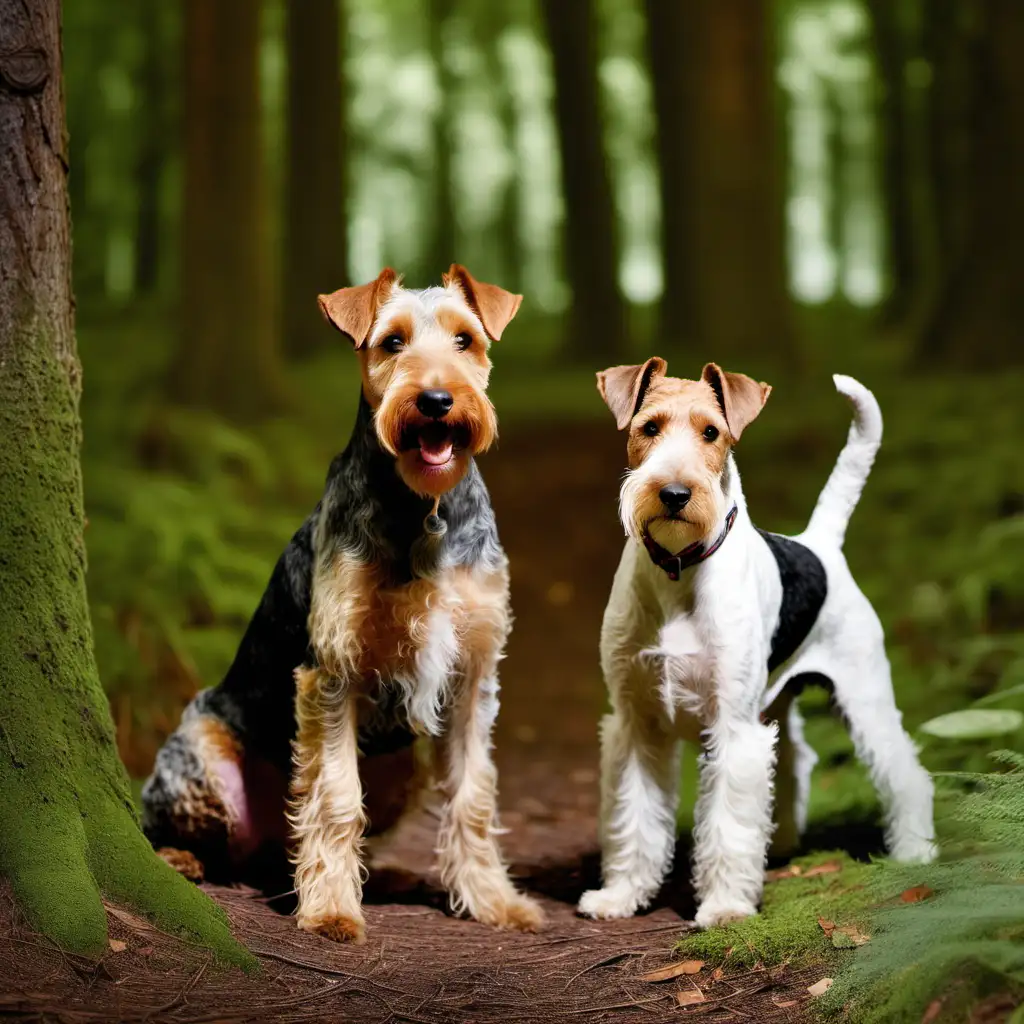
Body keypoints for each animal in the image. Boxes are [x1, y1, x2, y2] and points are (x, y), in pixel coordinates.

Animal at [577, 358, 937, 929]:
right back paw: (783, 843)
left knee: (905, 772)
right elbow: (633, 816)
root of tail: (819, 544)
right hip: (777, 702)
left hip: (864, 695)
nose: (674, 494)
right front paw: (621, 895)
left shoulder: (732, 725)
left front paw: (725, 906)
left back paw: (914, 851)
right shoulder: (635, 722)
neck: (680, 569)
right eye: (649, 427)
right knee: (796, 760)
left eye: (711, 433)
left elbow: (728, 824)